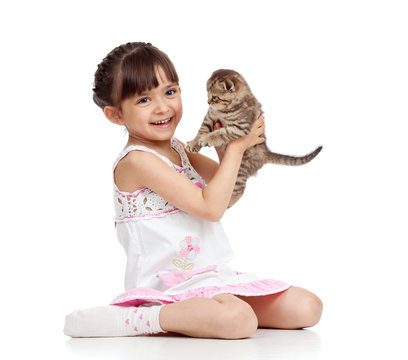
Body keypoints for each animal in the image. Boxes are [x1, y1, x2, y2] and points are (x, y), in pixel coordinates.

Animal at [185, 69, 322, 208]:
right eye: (208, 95)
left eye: (214, 97)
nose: (208, 102)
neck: (226, 110)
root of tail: (265, 152)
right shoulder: (210, 116)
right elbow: (202, 130)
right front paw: (194, 143)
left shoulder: (240, 128)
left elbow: (221, 133)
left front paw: (207, 139)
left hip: (240, 168)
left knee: (239, 190)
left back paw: (227, 203)